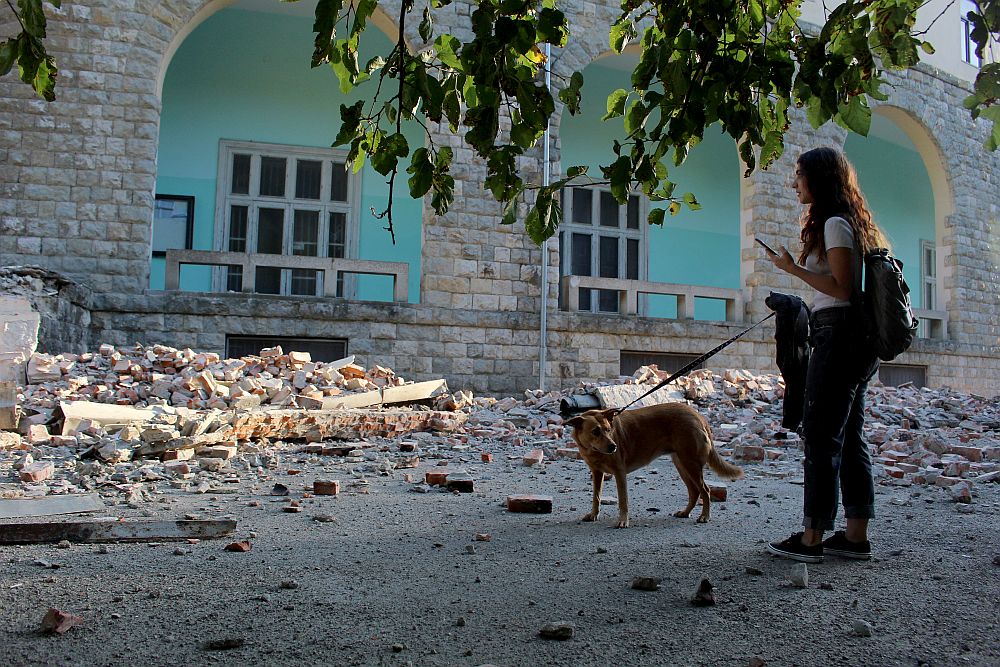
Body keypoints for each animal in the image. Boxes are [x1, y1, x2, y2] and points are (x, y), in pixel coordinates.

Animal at [568, 402, 740, 528]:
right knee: (694, 491)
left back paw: (704, 516)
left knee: (705, 490)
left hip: (691, 464)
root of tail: (697, 415)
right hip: (682, 465)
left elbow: (623, 500)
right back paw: (685, 512)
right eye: (595, 431)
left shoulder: (619, 472)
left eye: (609, 430)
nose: (613, 446)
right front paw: (593, 515)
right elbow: (596, 496)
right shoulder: (597, 472)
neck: (593, 451)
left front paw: (623, 521)